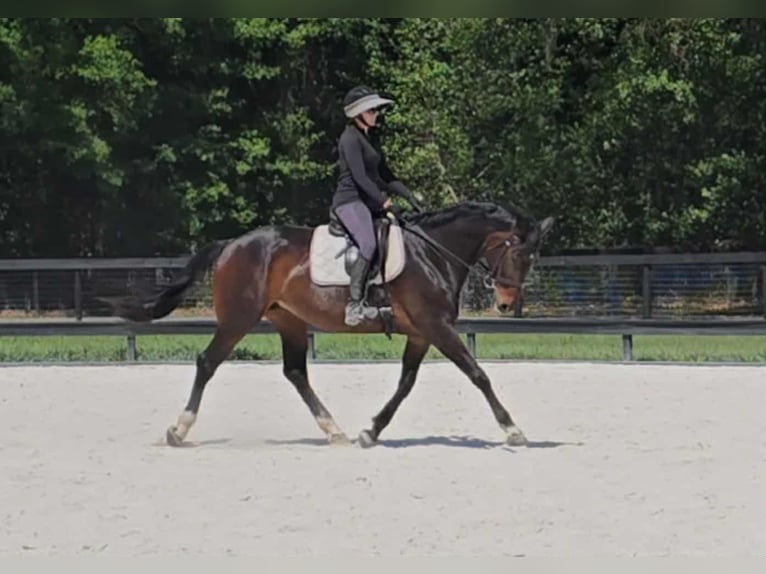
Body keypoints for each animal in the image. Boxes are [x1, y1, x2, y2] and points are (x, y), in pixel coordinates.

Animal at [106, 200, 555, 448]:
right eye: (519, 254)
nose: (505, 303)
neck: (432, 253)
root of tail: (232, 244)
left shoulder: (421, 333)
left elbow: (406, 384)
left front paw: (371, 431)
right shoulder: (436, 327)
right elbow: (478, 374)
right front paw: (513, 430)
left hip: (287, 320)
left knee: (294, 372)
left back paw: (334, 430)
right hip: (238, 318)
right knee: (207, 363)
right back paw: (178, 430)